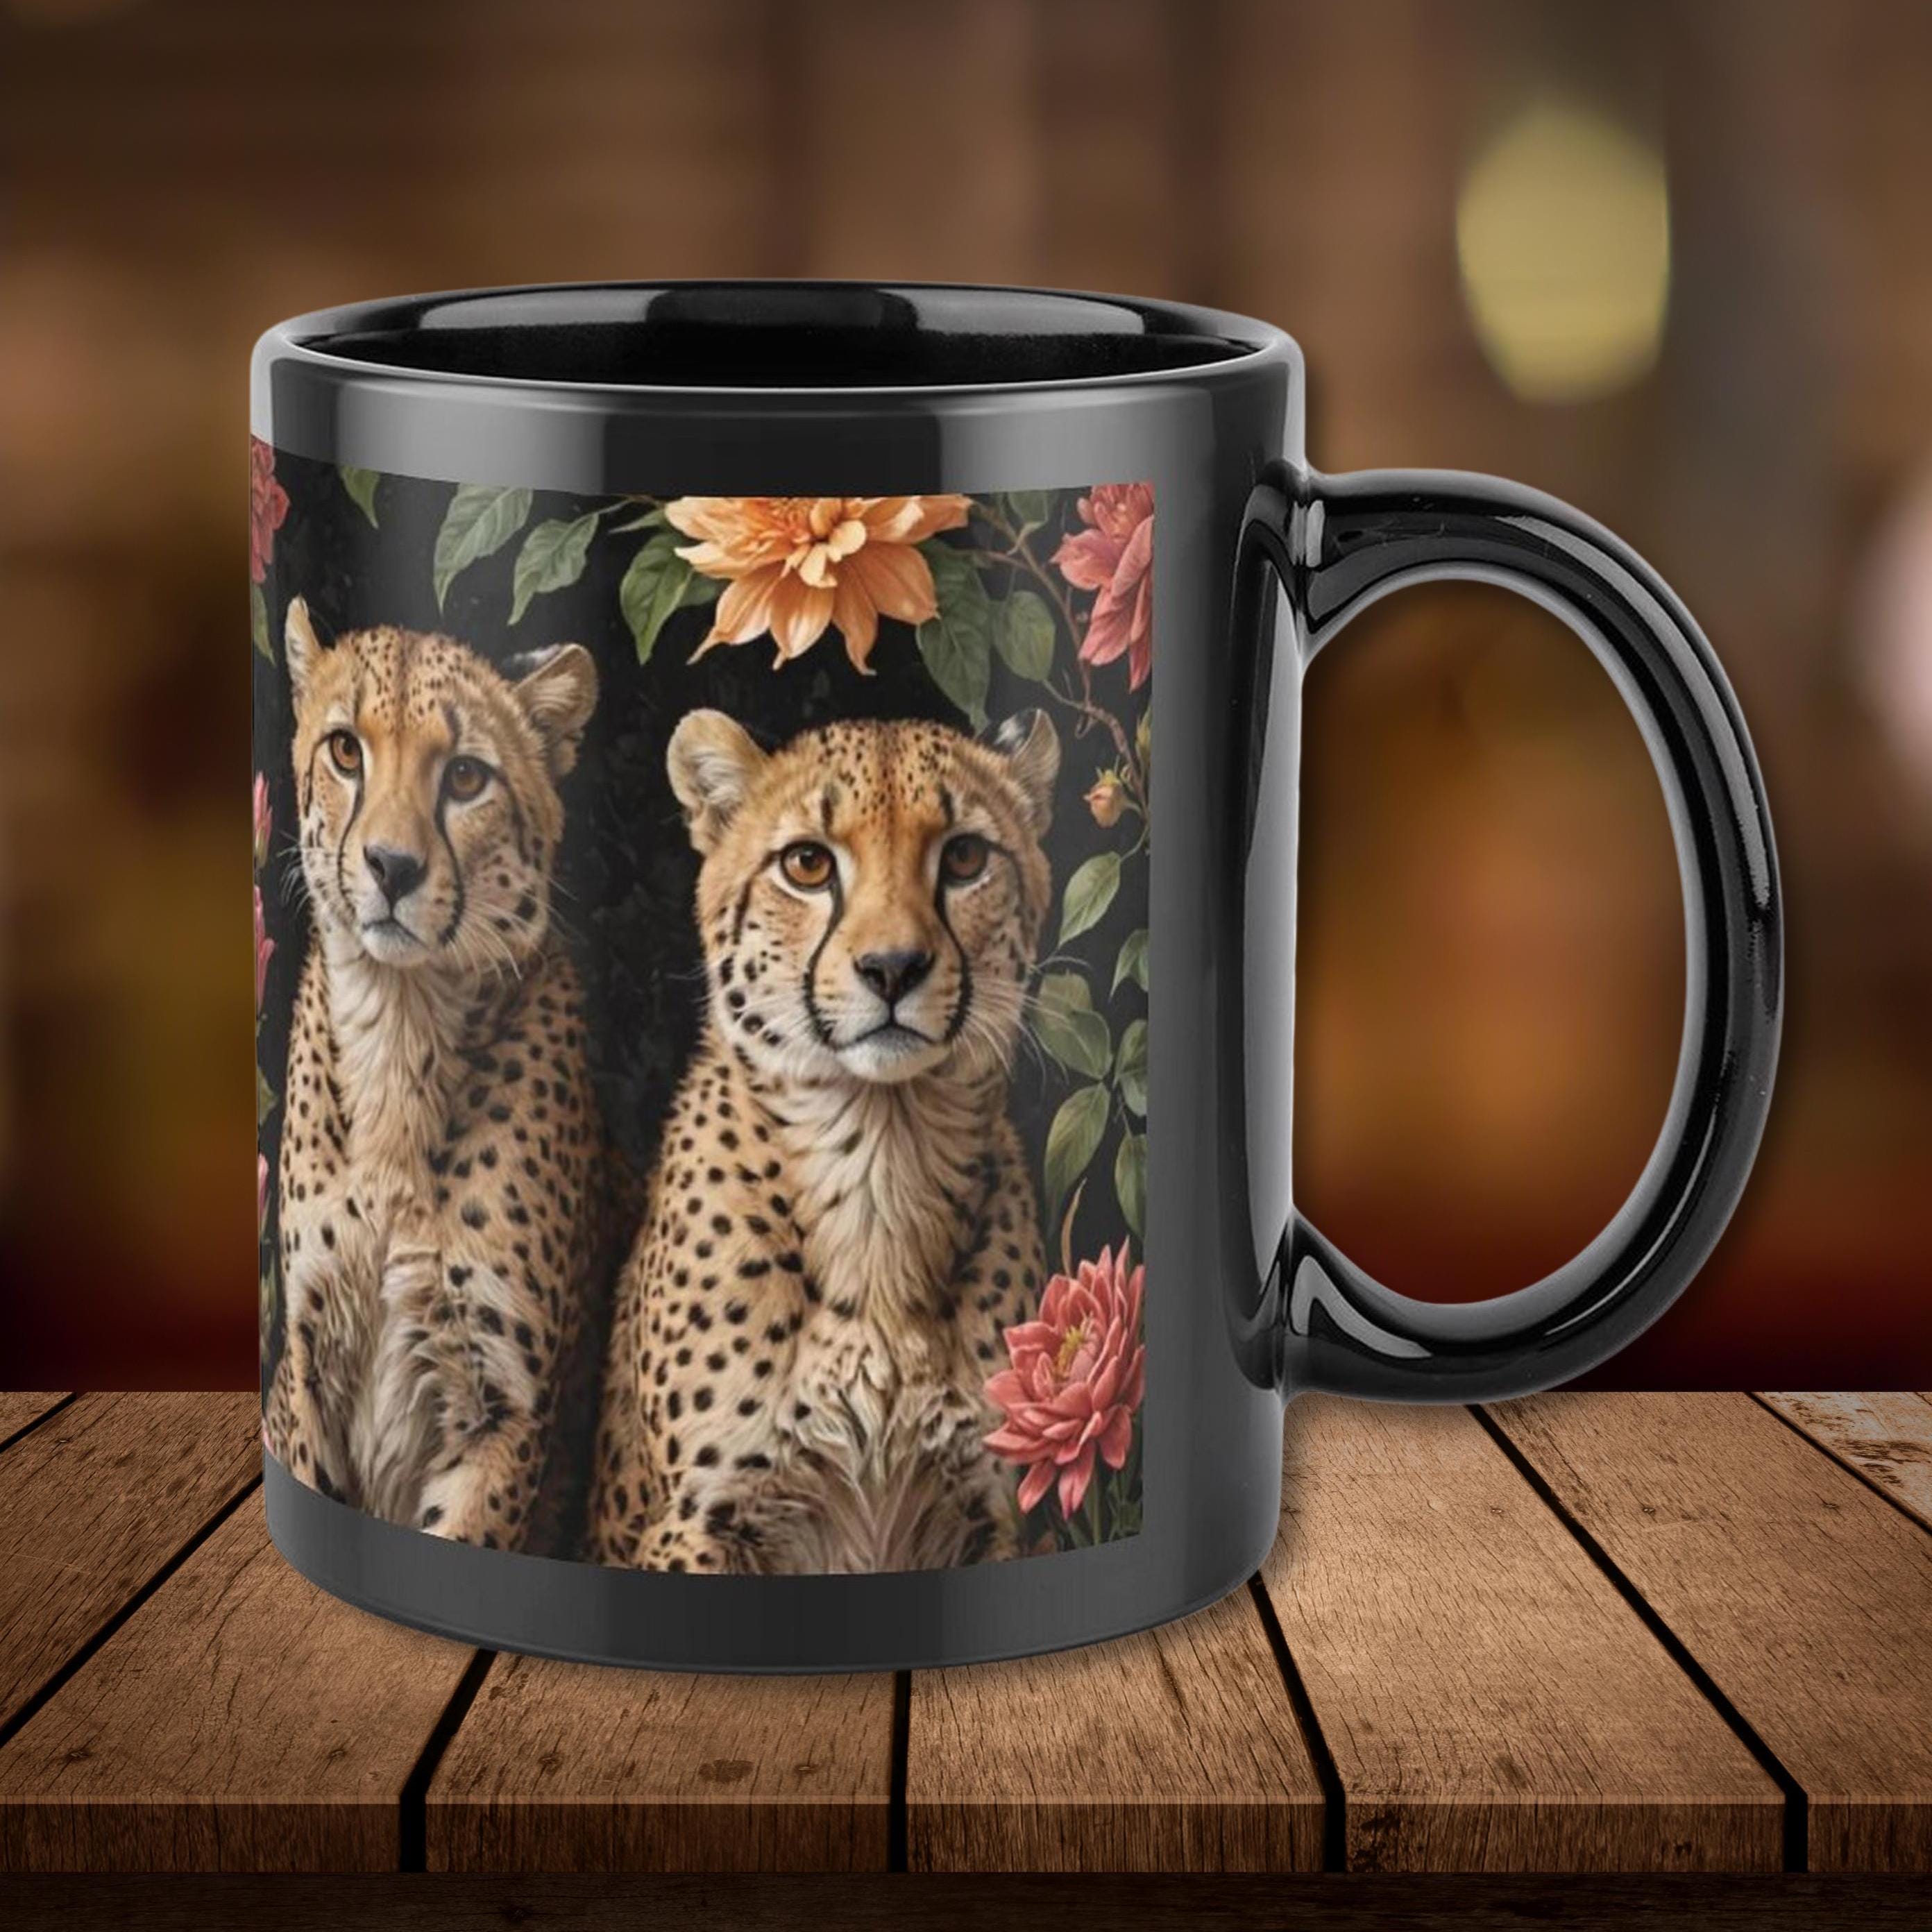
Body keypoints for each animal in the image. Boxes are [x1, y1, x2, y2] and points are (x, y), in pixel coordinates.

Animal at [264, 596, 604, 1554]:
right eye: (347, 750)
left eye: (465, 778)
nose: (392, 867)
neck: (401, 1023)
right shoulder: (306, 1362)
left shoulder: (503, 1411)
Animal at [587, 705, 1061, 1575]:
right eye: (808, 865)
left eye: (966, 858)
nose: (893, 967)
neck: (879, 1161)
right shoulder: (699, 1519)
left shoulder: (989, 1516)